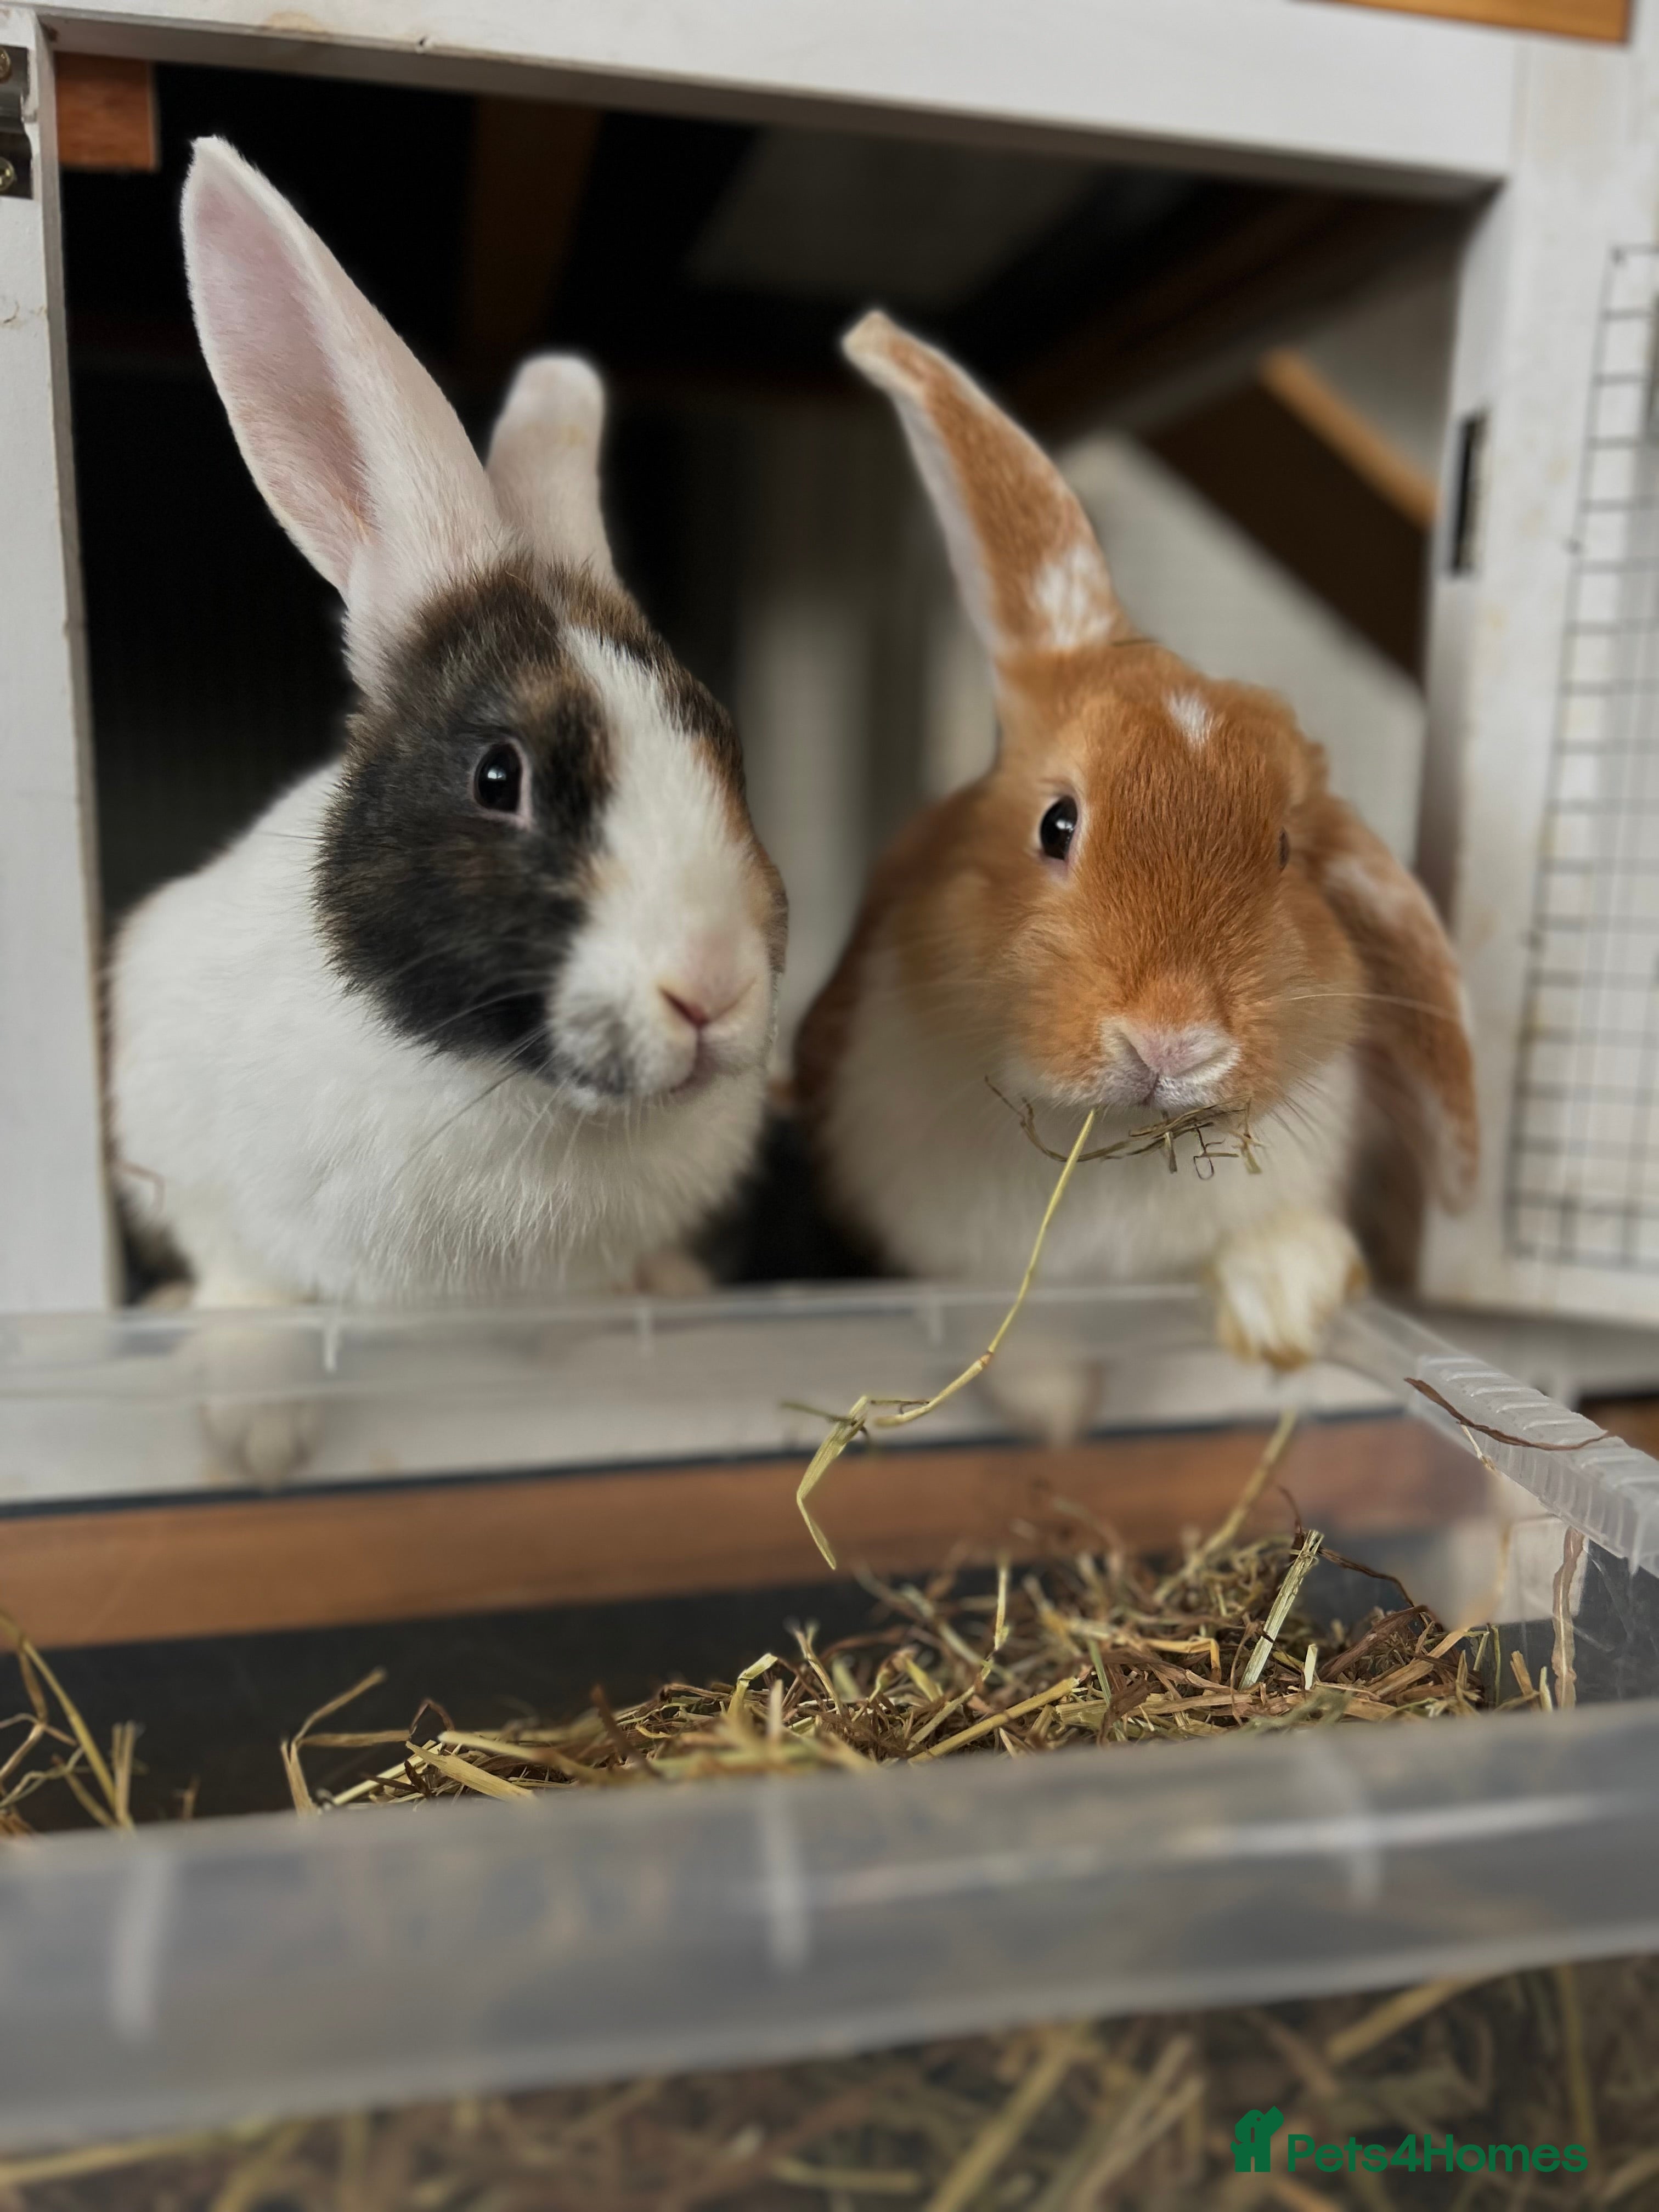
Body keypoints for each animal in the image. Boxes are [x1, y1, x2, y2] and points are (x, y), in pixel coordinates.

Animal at [109, 138, 786, 1391]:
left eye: (723, 741)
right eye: (497, 779)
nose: (711, 989)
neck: (517, 1100)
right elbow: (247, 1280)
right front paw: (251, 1406)